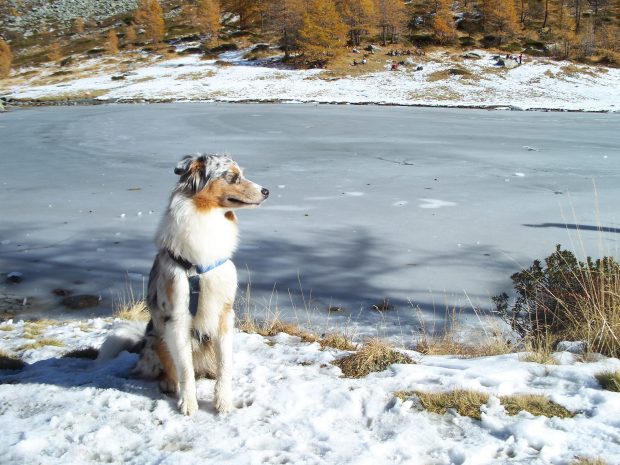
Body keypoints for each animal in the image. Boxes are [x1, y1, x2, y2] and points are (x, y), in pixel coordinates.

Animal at [132, 154, 268, 416]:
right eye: (232, 176)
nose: (266, 191)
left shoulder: (225, 313)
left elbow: (224, 365)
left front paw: (223, 402)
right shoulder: (177, 317)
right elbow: (185, 369)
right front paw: (188, 403)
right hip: (155, 336)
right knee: (169, 365)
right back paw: (169, 383)